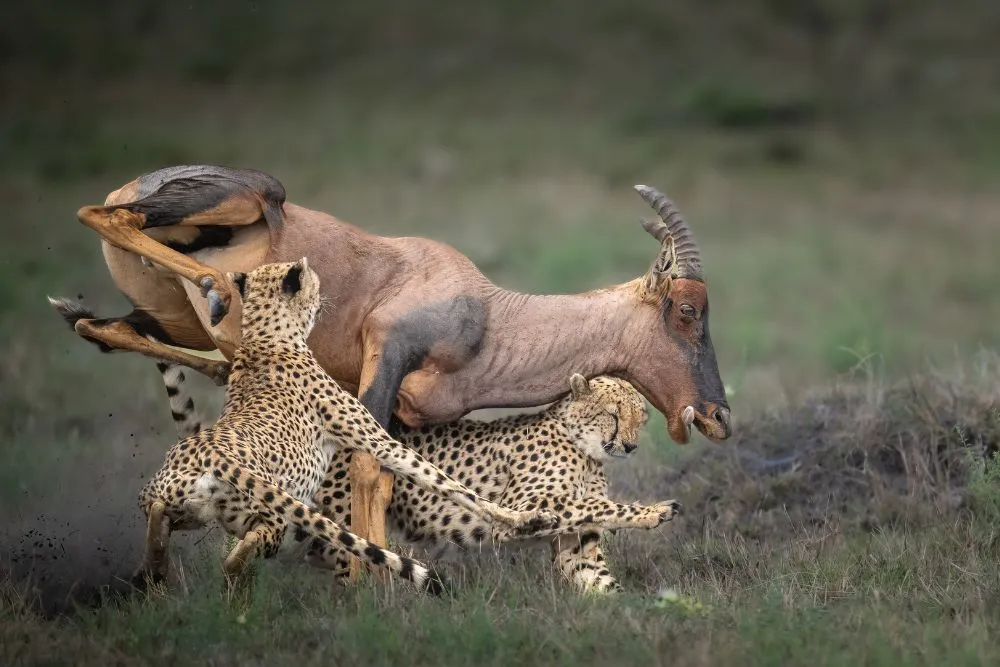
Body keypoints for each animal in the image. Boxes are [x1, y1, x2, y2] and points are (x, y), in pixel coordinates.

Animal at [131, 258, 548, 596]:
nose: (325, 297)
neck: (264, 336)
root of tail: (207, 453)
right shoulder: (379, 440)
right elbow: (449, 484)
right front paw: (525, 519)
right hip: (269, 516)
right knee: (236, 558)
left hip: (183, 506)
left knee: (173, 531)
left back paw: (155, 573)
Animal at [316, 376, 684, 596]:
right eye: (613, 414)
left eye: (640, 417)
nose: (631, 446)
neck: (585, 448)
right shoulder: (524, 509)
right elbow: (596, 506)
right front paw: (655, 511)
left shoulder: (576, 547)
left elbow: (598, 577)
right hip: (343, 519)